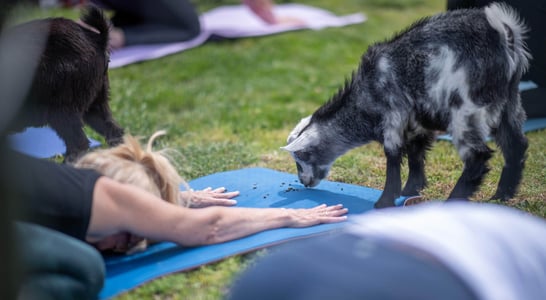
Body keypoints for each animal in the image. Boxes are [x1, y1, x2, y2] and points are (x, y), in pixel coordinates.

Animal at [280, 2, 528, 209]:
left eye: (301, 157)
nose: (304, 181)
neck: (365, 96)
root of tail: (503, 34)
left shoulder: (393, 116)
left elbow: (393, 156)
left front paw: (385, 201)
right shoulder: (416, 124)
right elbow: (416, 154)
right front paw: (411, 189)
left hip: (466, 108)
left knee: (477, 156)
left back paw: (454, 201)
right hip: (509, 103)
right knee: (516, 145)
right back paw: (502, 195)